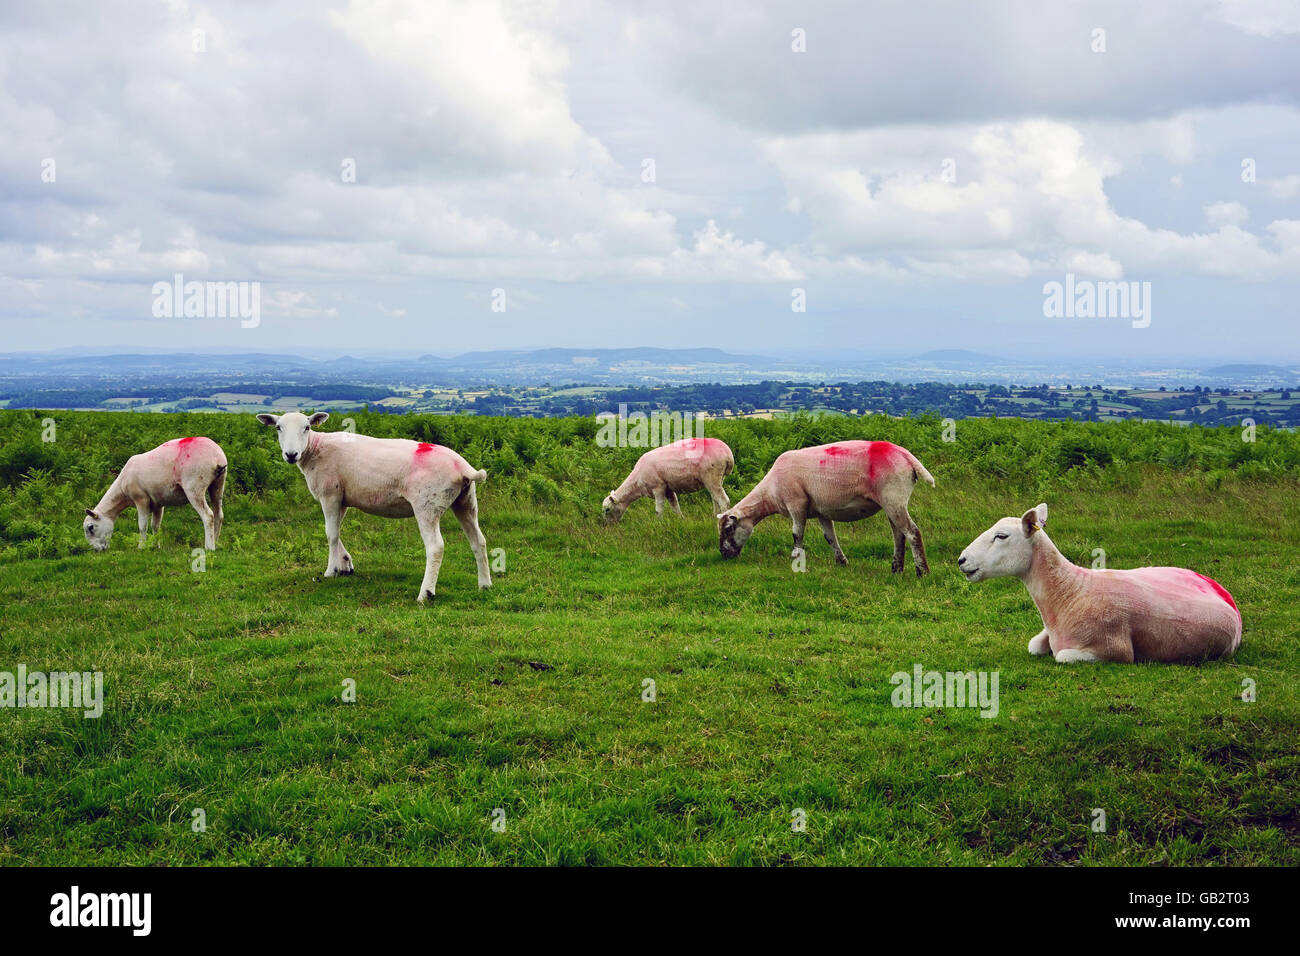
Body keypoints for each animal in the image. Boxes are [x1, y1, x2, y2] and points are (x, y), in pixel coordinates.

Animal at [83, 434, 226, 554]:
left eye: (91, 527)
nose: (96, 550)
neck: (122, 492)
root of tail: (217, 457)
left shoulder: (141, 499)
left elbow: (142, 526)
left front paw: (141, 547)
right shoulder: (158, 503)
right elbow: (155, 525)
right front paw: (155, 546)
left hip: (194, 485)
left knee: (208, 516)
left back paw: (209, 547)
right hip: (218, 484)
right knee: (218, 514)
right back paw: (217, 542)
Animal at [258, 411, 491, 606]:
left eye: (306, 427)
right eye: (278, 427)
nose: (291, 454)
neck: (315, 449)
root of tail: (462, 467)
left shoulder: (330, 494)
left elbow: (331, 534)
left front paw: (331, 571)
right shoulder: (342, 498)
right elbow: (337, 531)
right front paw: (345, 563)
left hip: (427, 504)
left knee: (436, 547)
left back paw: (426, 593)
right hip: (466, 500)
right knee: (478, 541)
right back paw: (485, 585)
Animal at [598, 434, 733, 520]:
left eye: (607, 509)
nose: (606, 526)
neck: (637, 483)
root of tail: (728, 454)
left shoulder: (658, 487)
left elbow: (659, 509)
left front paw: (658, 524)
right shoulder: (669, 489)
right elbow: (675, 506)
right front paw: (681, 520)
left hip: (711, 476)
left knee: (723, 501)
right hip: (718, 478)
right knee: (715, 499)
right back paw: (713, 516)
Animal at [712, 442, 935, 574]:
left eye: (728, 529)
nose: (723, 554)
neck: (770, 494)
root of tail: (907, 456)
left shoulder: (796, 503)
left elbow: (797, 533)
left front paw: (796, 560)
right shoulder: (821, 511)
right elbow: (830, 537)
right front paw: (841, 562)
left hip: (893, 498)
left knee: (912, 532)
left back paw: (922, 571)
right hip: (891, 502)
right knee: (899, 534)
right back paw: (897, 568)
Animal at [961, 502, 1242, 665]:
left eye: (1001, 536)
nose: (961, 559)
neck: (1067, 593)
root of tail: (1226, 596)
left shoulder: (1112, 649)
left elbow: (1061, 656)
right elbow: (1034, 646)